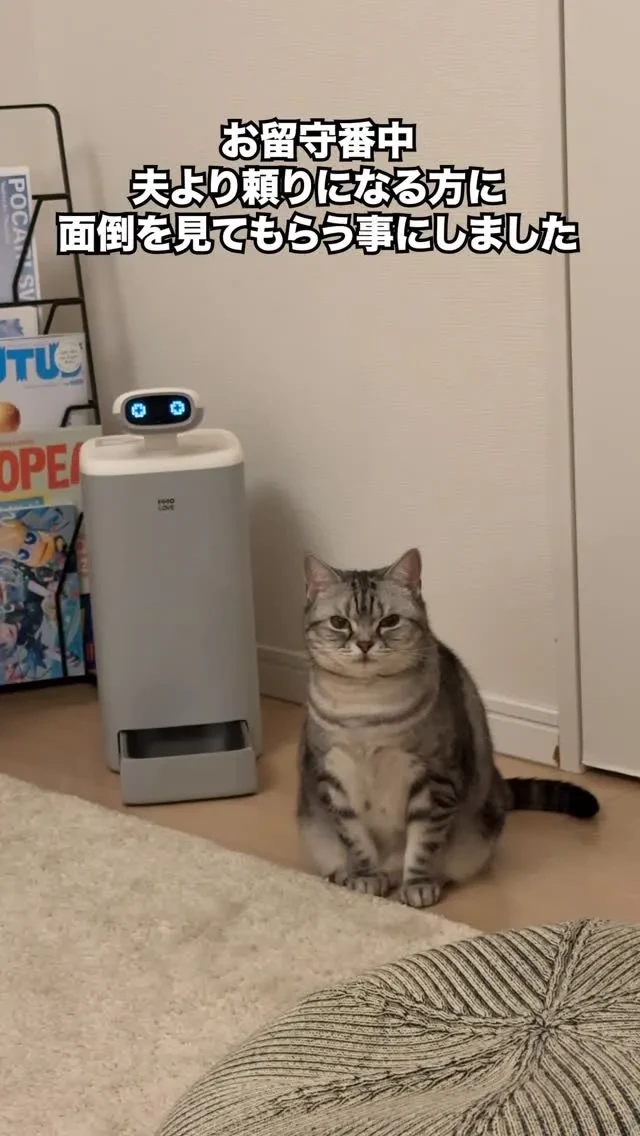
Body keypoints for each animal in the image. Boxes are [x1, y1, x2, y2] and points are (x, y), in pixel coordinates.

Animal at [296, 547, 599, 908]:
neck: (366, 711)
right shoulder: (333, 780)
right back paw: (348, 876)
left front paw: (418, 885)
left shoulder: (435, 780)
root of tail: (501, 789)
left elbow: (423, 845)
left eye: (389, 621)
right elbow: (356, 840)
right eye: (340, 623)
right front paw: (366, 877)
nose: (366, 644)